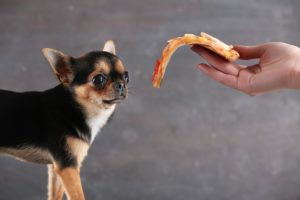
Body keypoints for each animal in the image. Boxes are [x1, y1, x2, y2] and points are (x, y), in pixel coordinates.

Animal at [0, 41, 127, 200]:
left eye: (126, 76)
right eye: (98, 79)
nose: (121, 84)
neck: (73, 108)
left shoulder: (57, 168)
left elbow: (55, 195)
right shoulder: (67, 167)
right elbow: (78, 196)